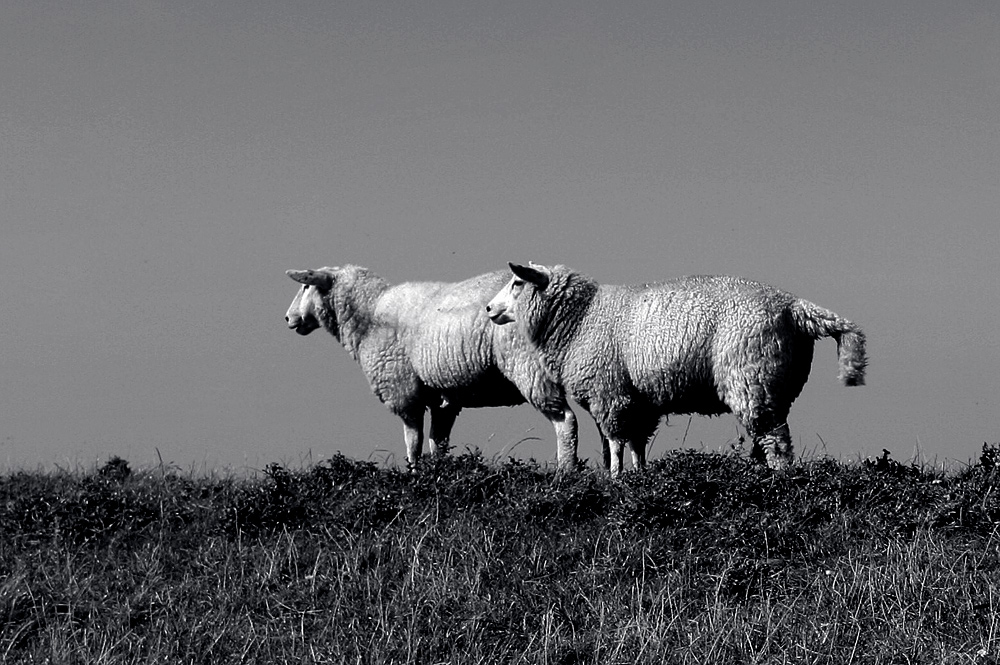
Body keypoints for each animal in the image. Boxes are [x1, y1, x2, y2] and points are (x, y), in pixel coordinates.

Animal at [282, 264, 580, 466]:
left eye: (306, 286)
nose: (287, 318)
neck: (368, 314)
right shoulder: (445, 398)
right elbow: (438, 442)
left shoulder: (402, 390)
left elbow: (412, 443)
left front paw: (413, 476)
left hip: (528, 366)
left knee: (565, 420)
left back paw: (565, 473)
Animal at [486, 262, 868, 474]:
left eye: (517, 283)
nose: (489, 309)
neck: (583, 317)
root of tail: (794, 306)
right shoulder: (637, 401)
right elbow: (636, 443)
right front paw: (638, 477)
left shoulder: (610, 394)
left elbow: (615, 441)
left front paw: (615, 478)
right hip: (776, 384)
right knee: (767, 436)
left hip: (751, 376)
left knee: (776, 441)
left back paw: (778, 480)